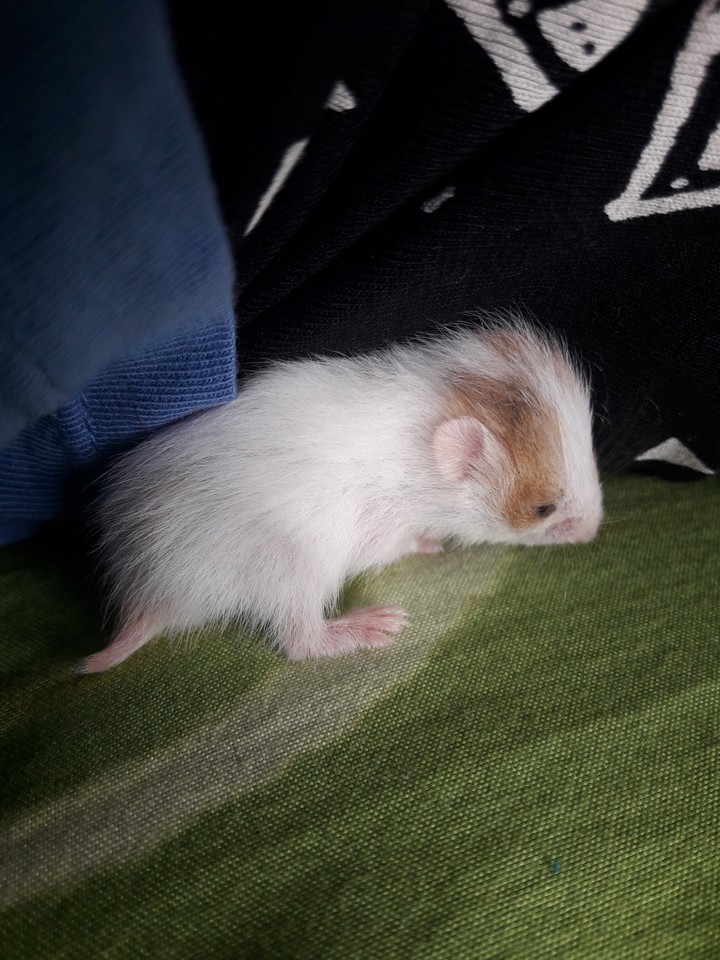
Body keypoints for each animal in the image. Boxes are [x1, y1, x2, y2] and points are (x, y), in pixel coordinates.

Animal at [80, 318, 603, 673]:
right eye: (543, 508)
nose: (593, 532)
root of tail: (149, 598)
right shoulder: (380, 528)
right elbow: (397, 544)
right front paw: (430, 543)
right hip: (291, 566)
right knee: (301, 641)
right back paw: (365, 625)